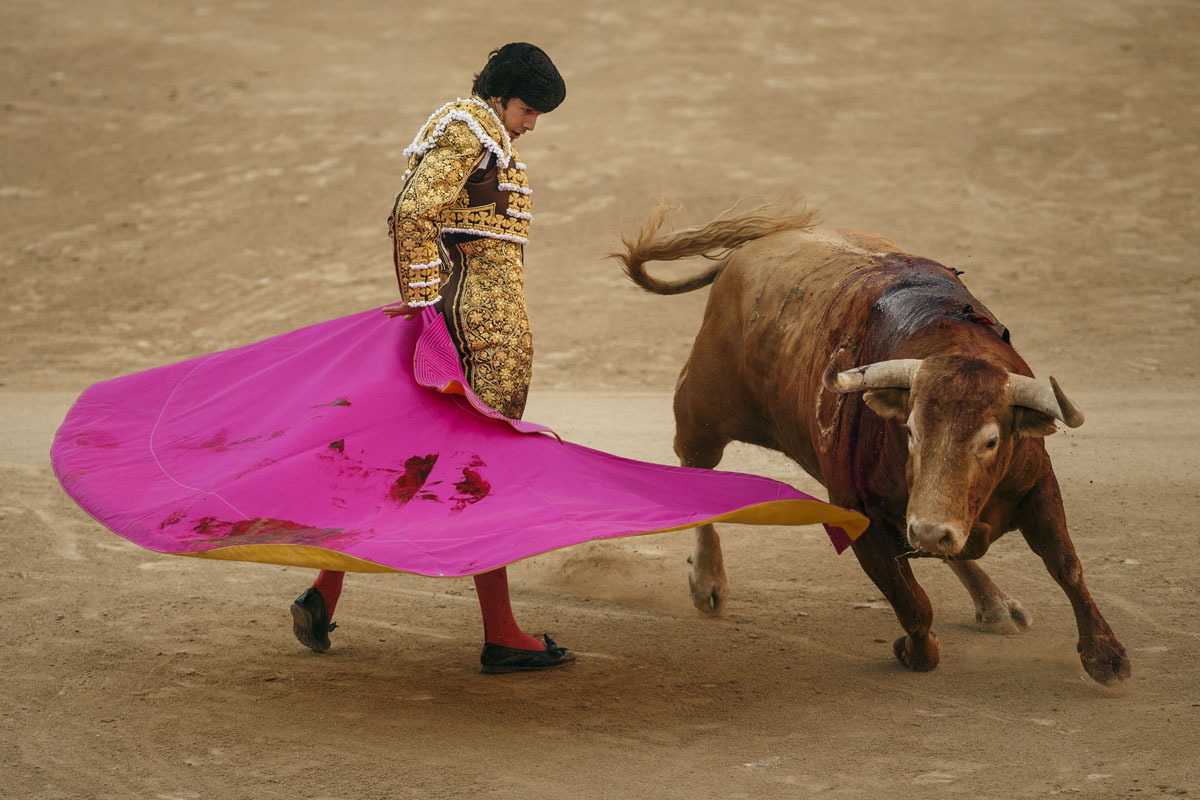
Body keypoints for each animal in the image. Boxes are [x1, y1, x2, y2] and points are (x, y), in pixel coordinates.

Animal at [614, 203, 1128, 686]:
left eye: (991, 440)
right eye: (911, 430)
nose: (929, 530)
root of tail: (752, 246)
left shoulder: (1036, 483)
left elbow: (1065, 564)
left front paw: (1106, 657)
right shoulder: (857, 514)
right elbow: (912, 602)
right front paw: (916, 653)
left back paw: (994, 602)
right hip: (702, 409)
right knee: (695, 465)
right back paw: (707, 581)